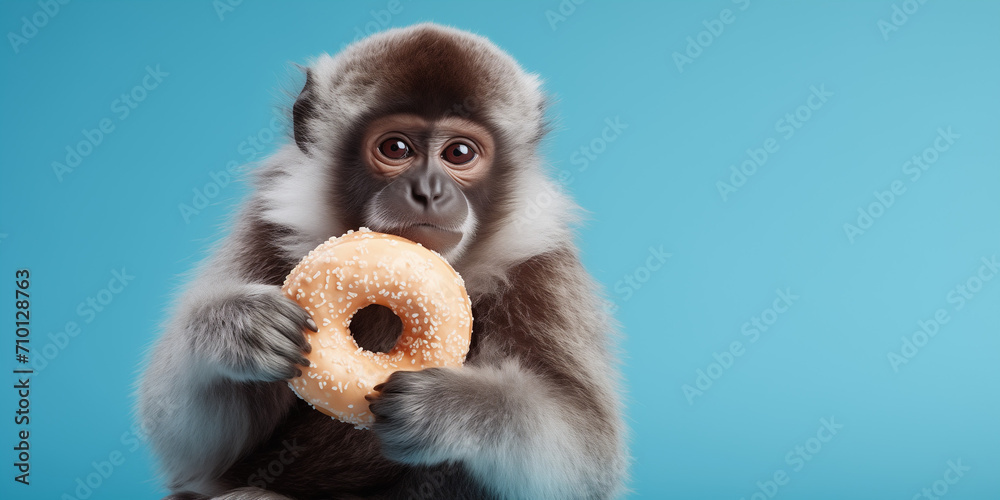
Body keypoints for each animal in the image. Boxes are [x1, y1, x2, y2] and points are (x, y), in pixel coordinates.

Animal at [139, 23, 628, 500]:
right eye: (396, 148)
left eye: (460, 153)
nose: (428, 192)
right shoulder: (264, 224)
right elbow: (193, 452)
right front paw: (238, 327)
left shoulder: (543, 265)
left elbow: (588, 456)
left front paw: (447, 407)